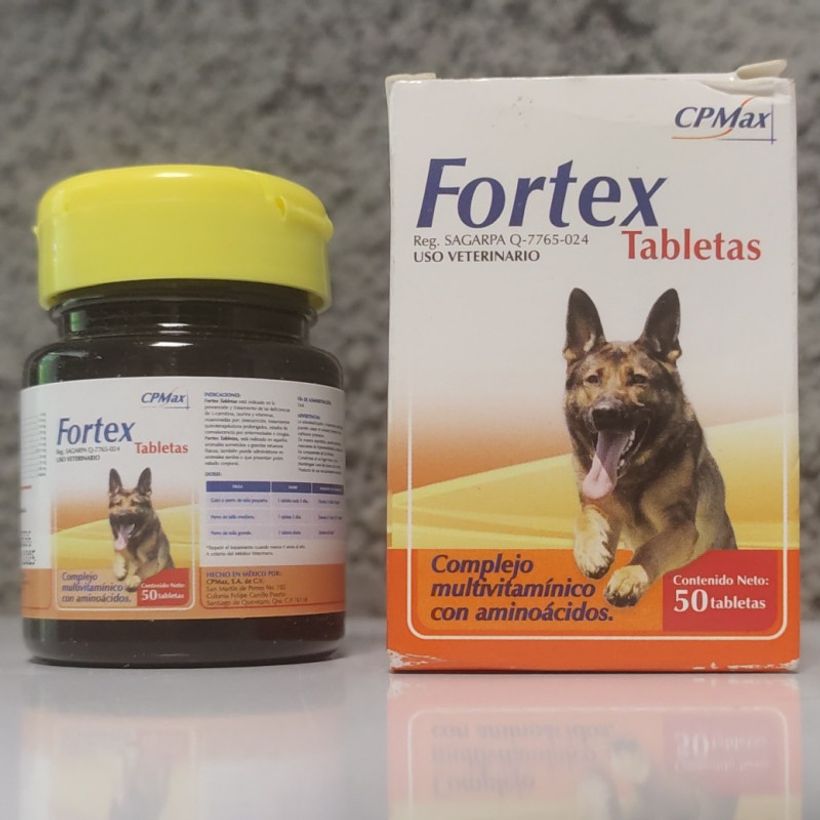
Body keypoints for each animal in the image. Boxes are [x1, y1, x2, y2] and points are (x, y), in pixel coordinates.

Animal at [563, 288, 735, 607]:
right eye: (593, 379)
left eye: (638, 380)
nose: (605, 412)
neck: (631, 477)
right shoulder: (600, 507)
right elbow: (584, 519)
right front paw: (591, 553)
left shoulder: (681, 525)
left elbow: (650, 548)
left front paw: (630, 576)